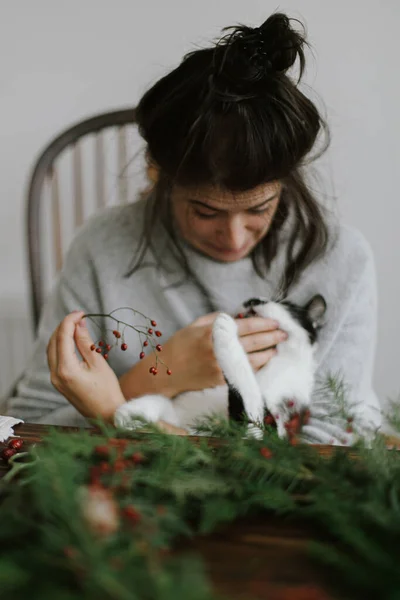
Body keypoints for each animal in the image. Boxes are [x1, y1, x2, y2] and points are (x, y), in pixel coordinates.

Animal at [114, 294, 326, 438]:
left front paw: (226, 331)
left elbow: (248, 390)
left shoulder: (265, 429)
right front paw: (130, 414)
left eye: (285, 304)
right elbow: (163, 405)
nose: (253, 300)